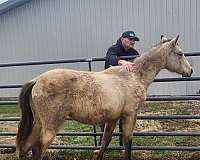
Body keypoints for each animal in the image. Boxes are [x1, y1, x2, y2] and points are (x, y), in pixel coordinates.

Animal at [15, 34, 192, 159]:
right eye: (180, 54)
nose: (190, 71)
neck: (133, 77)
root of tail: (37, 80)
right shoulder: (130, 116)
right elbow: (127, 143)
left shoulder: (113, 119)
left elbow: (104, 143)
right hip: (50, 127)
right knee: (37, 149)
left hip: (38, 124)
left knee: (25, 147)